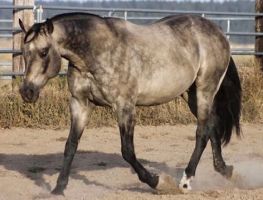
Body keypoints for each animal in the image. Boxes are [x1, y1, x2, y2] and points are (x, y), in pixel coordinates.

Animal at [18, 12, 241, 195]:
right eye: (24, 52)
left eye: (44, 51)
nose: (27, 92)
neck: (97, 51)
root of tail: (218, 32)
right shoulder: (80, 104)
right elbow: (71, 145)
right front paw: (58, 188)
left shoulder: (124, 106)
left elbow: (127, 151)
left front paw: (158, 182)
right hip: (190, 94)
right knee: (212, 125)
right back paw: (225, 170)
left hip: (205, 90)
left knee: (202, 132)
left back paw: (185, 182)